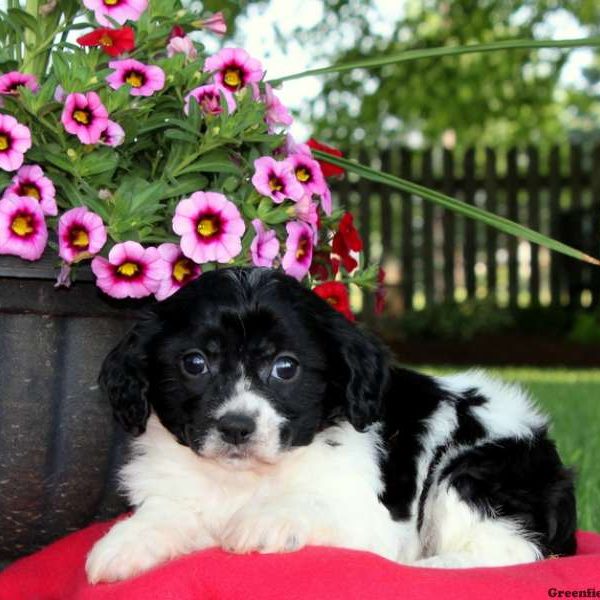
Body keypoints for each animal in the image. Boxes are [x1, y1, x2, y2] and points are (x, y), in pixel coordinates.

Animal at [84, 266, 576, 580]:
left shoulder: (376, 523)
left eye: (285, 368)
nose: (236, 427)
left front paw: (263, 522)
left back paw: (432, 567)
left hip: (475, 472)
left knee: (516, 549)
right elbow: (168, 513)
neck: (245, 479)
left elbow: (310, 505)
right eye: (195, 363)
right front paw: (123, 544)